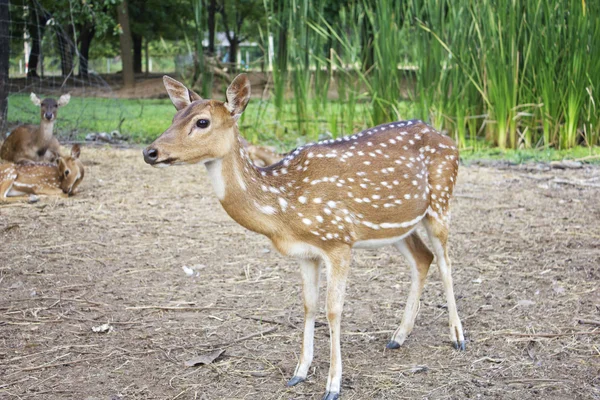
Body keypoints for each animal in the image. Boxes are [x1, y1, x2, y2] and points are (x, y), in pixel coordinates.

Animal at [143, 75, 466, 400]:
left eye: (202, 122)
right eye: (173, 117)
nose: (150, 152)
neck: (284, 211)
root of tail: (449, 139)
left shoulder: (339, 241)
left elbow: (333, 310)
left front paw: (333, 385)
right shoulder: (306, 253)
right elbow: (309, 305)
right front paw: (299, 372)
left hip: (441, 201)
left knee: (445, 262)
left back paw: (458, 337)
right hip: (397, 225)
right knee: (422, 258)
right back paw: (398, 336)